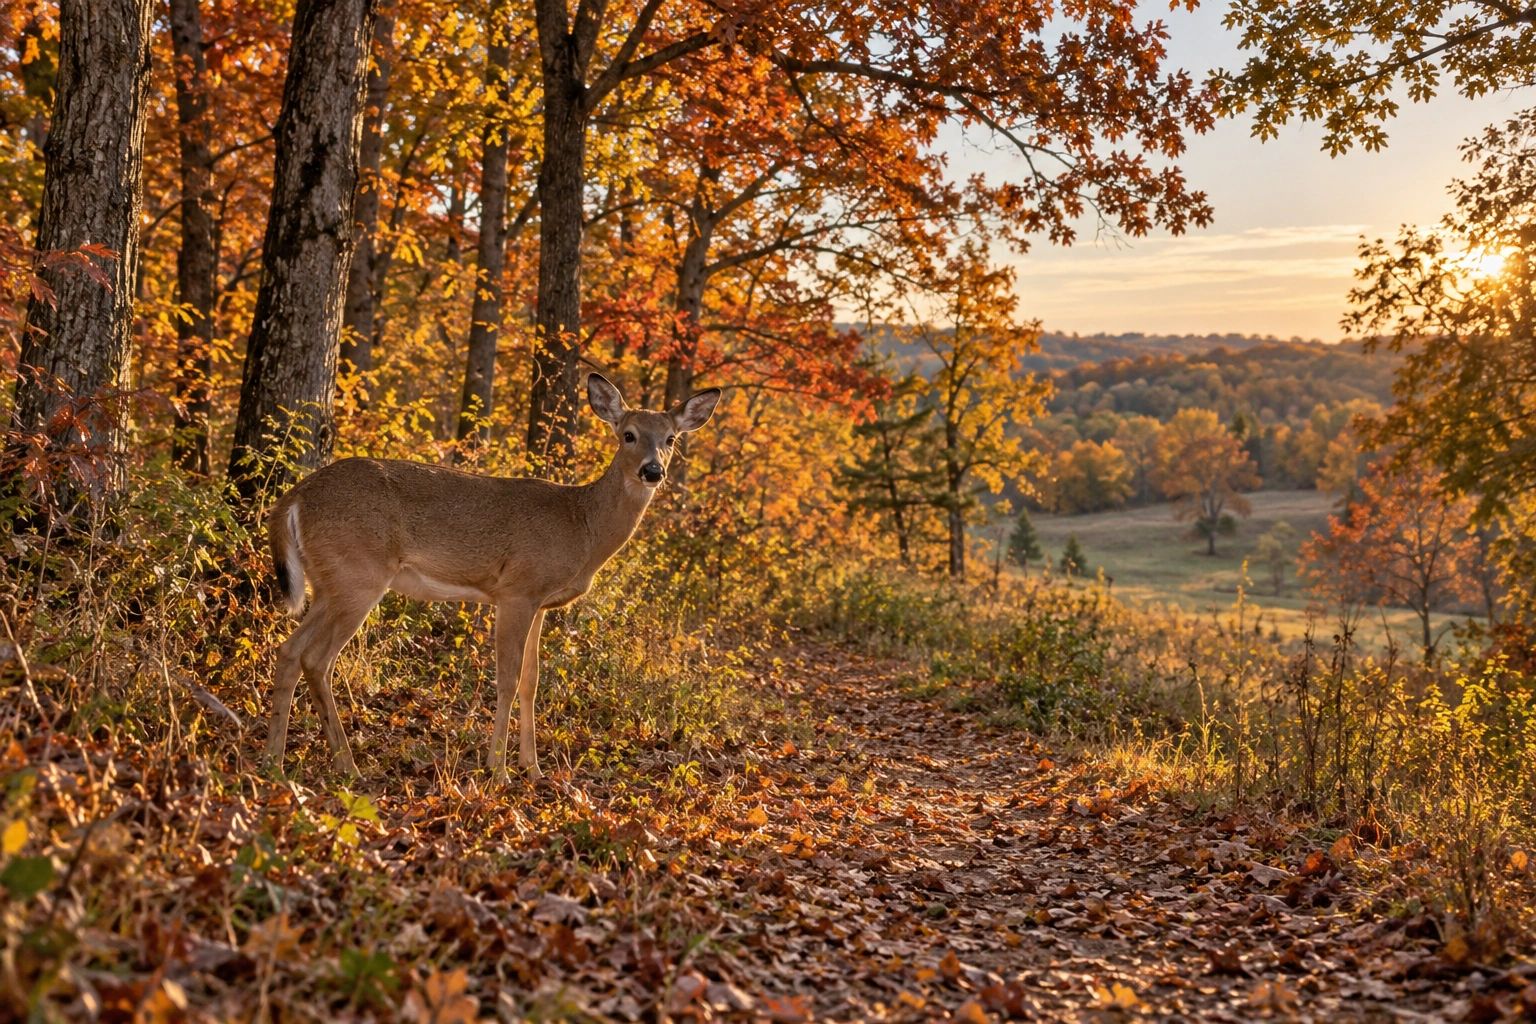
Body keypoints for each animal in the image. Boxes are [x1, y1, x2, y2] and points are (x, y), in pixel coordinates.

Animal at [262, 373, 721, 783]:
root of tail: (293, 498)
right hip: (358, 574)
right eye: (628, 434)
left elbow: (532, 681)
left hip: (329, 582)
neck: (582, 527)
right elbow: (508, 679)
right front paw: (498, 770)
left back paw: (276, 760)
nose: (652, 471)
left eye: (670, 439)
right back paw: (345, 765)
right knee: (316, 658)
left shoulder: (541, 603)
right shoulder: (517, 590)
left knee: (289, 650)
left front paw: (533, 769)